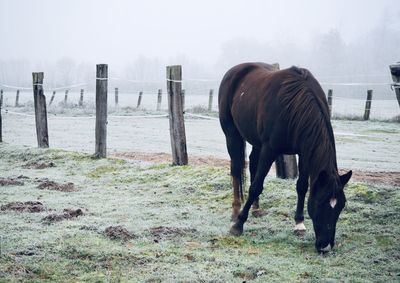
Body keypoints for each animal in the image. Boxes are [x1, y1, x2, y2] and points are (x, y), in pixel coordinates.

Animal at [217, 62, 352, 253]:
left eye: (340, 205)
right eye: (320, 203)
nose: (325, 247)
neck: (296, 104)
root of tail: (235, 70)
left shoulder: (304, 151)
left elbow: (302, 186)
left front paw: (299, 224)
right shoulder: (270, 150)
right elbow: (256, 186)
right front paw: (238, 225)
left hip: (256, 142)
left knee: (252, 164)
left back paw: (256, 209)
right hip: (232, 134)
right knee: (236, 169)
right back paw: (236, 212)